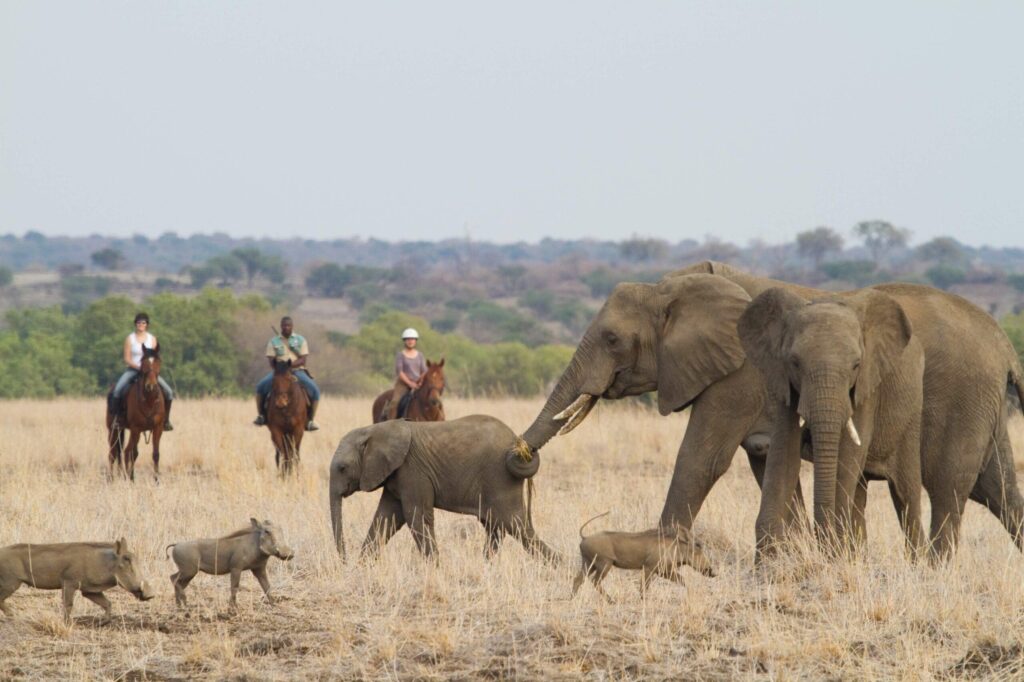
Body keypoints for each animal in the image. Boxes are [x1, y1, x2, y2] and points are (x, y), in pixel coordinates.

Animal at [107, 344, 167, 482]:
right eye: (143, 362)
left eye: (158, 361)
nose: (151, 386)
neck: (149, 400)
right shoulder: (136, 428)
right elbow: (132, 453)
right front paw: (131, 478)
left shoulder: (158, 428)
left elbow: (155, 454)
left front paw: (156, 480)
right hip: (114, 430)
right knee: (114, 453)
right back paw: (112, 479)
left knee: (125, 451)